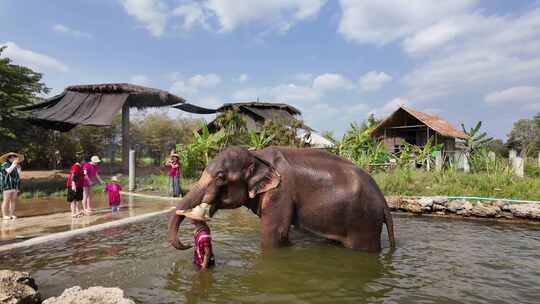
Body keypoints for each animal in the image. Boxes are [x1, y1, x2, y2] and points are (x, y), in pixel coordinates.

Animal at [167, 145, 394, 252]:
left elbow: (274, 234)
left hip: (363, 222)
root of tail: (384, 201)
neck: (257, 155)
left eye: (221, 177)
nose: (187, 244)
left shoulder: (280, 192)